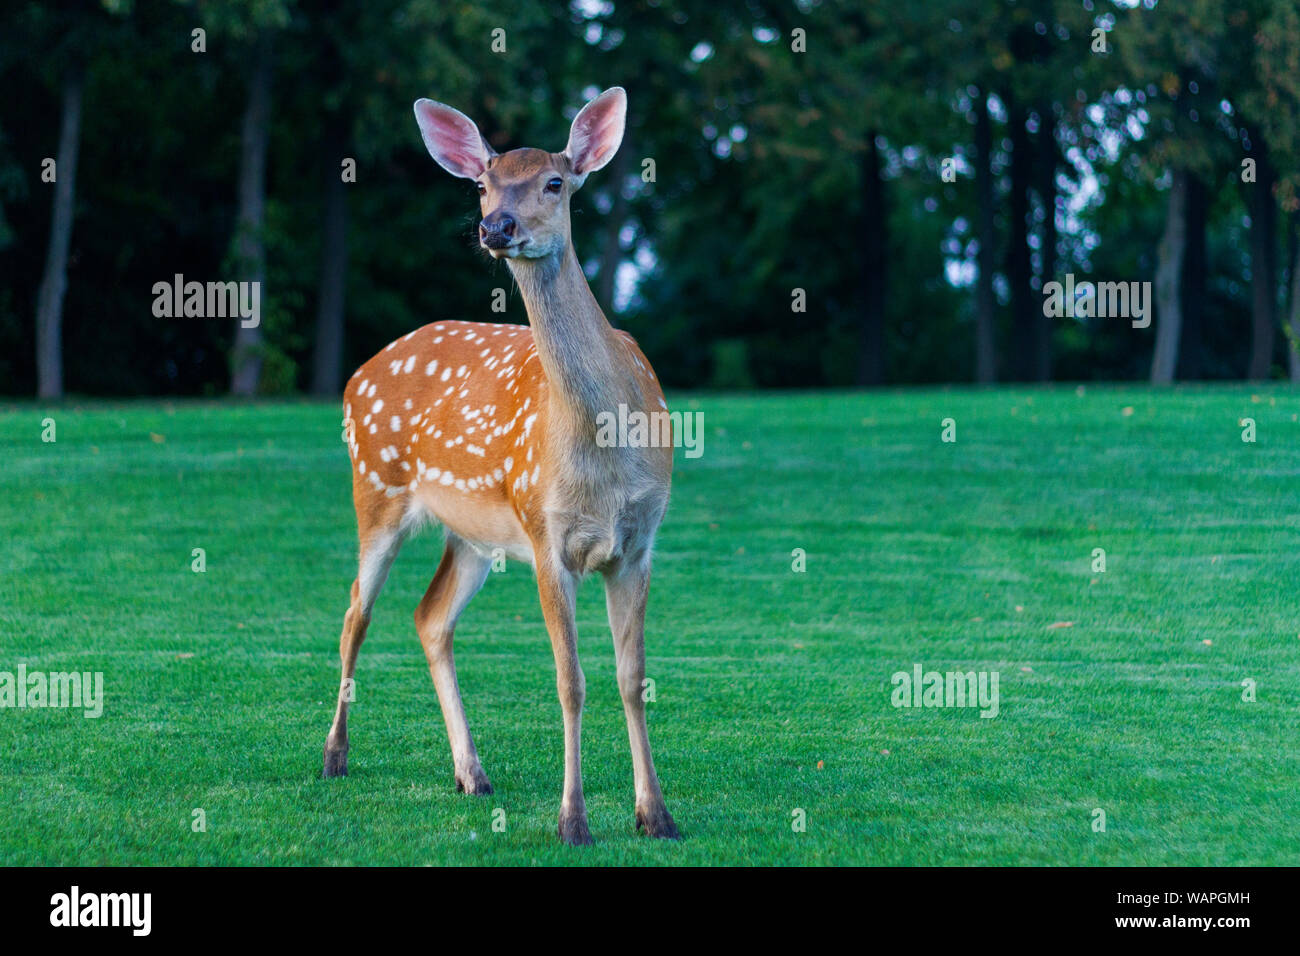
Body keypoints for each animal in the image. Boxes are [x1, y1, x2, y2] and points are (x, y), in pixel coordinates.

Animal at [321, 87, 681, 842]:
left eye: (555, 182)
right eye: (482, 185)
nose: (495, 227)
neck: (605, 455)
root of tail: (359, 373)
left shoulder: (640, 542)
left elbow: (631, 678)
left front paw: (656, 814)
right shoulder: (546, 535)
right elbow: (570, 682)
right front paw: (573, 821)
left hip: (473, 534)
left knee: (429, 618)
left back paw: (471, 772)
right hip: (376, 488)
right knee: (355, 612)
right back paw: (335, 755)